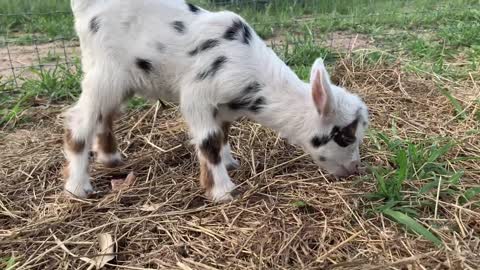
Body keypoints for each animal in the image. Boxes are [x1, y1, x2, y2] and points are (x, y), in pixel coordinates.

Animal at [65, 0, 370, 201]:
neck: (249, 66)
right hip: (105, 72)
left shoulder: (222, 107)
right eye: (345, 136)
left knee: (105, 114)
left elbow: (223, 133)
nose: (354, 168)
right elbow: (209, 140)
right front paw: (222, 190)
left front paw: (230, 162)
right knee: (80, 121)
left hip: (121, 79)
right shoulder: (197, 95)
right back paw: (78, 187)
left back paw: (110, 158)